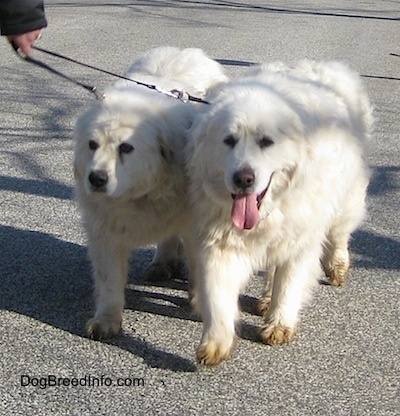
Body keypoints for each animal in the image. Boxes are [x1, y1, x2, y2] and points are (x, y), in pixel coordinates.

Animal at [73, 46, 227, 338]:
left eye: (126, 148)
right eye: (92, 144)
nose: (96, 178)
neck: (139, 197)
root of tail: (186, 51)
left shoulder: (196, 224)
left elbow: (200, 269)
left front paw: (200, 305)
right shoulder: (104, 231)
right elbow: (109, 279)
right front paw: (106, 320)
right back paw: (162, 263)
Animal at [189, 60, 374, 366]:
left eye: (266, 142)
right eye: (229, 140)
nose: (244, 178)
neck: (271, 208)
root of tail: (323, 66)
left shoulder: (301, 240)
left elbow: (289, 284)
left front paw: (279, 324)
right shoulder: (221, 243)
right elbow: (218, 295)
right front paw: (216, 342)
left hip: (345, 201)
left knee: (339, 236)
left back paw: (336, 267)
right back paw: (265, 299)